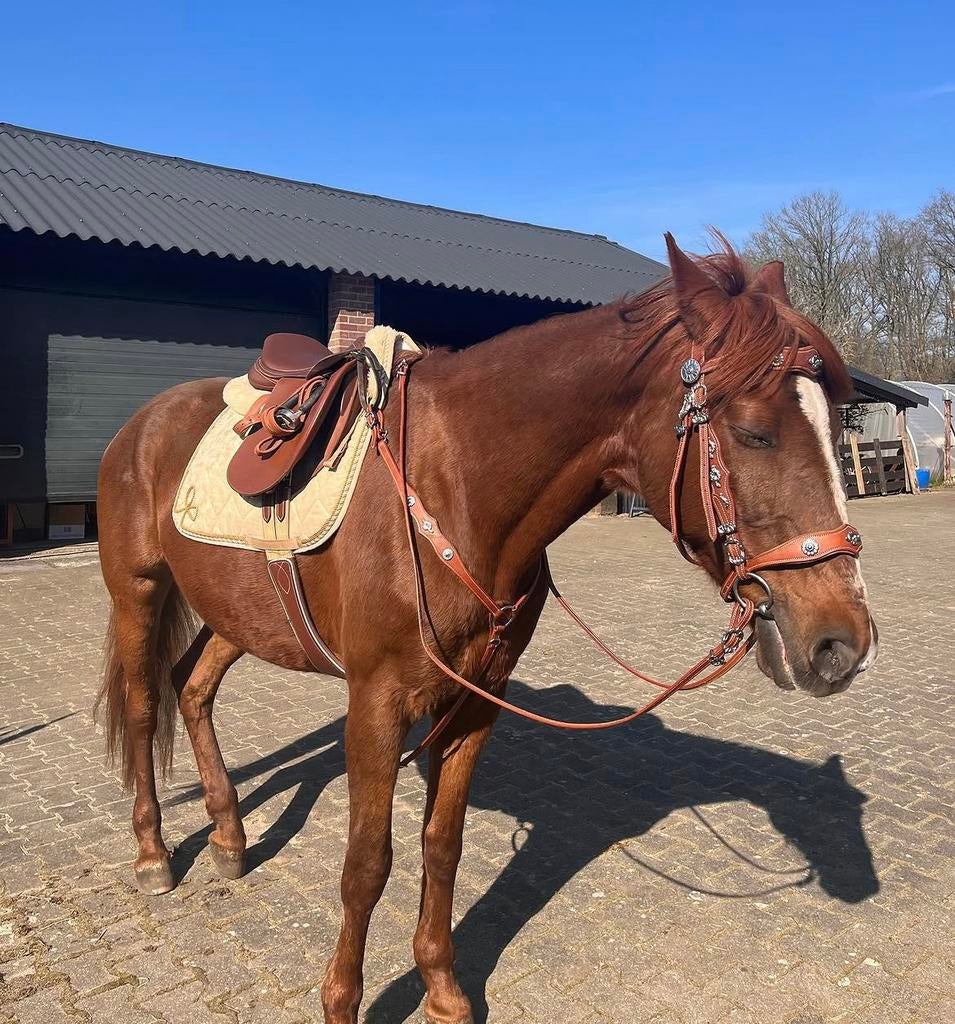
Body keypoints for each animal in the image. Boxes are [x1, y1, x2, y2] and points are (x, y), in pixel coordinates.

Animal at [95, 235, 878, 1024]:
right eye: (752, 433)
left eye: (836, 425)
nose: (841, 643)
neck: (456, 488)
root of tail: (143, 422)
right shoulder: (375, 704)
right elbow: (366, 864)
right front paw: (343, 1001)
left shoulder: (475, 701)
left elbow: (442, 845)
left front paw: (442, 990)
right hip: (138, 591)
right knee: (144, 706)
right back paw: (153, 854)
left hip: (240, 614)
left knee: (192, 689)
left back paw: (229, 836)